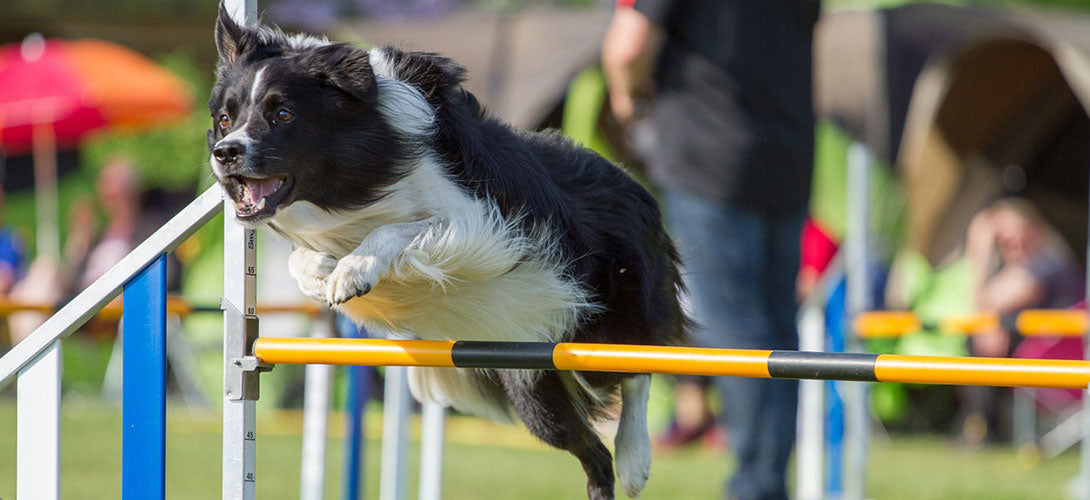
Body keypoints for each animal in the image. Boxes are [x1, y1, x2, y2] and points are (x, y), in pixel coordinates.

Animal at [210, 5, 688, 498]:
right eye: (225, 119)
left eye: (283, 113)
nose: (224, 154)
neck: (361, 173)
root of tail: (632, 181)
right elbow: (298, 256)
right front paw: (322, 270)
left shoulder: (479, 225)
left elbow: (398, 230)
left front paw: (353, 269)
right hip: (531, 379)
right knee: (592, 452)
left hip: (600, 323)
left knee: (638, 369)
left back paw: (635, 457)